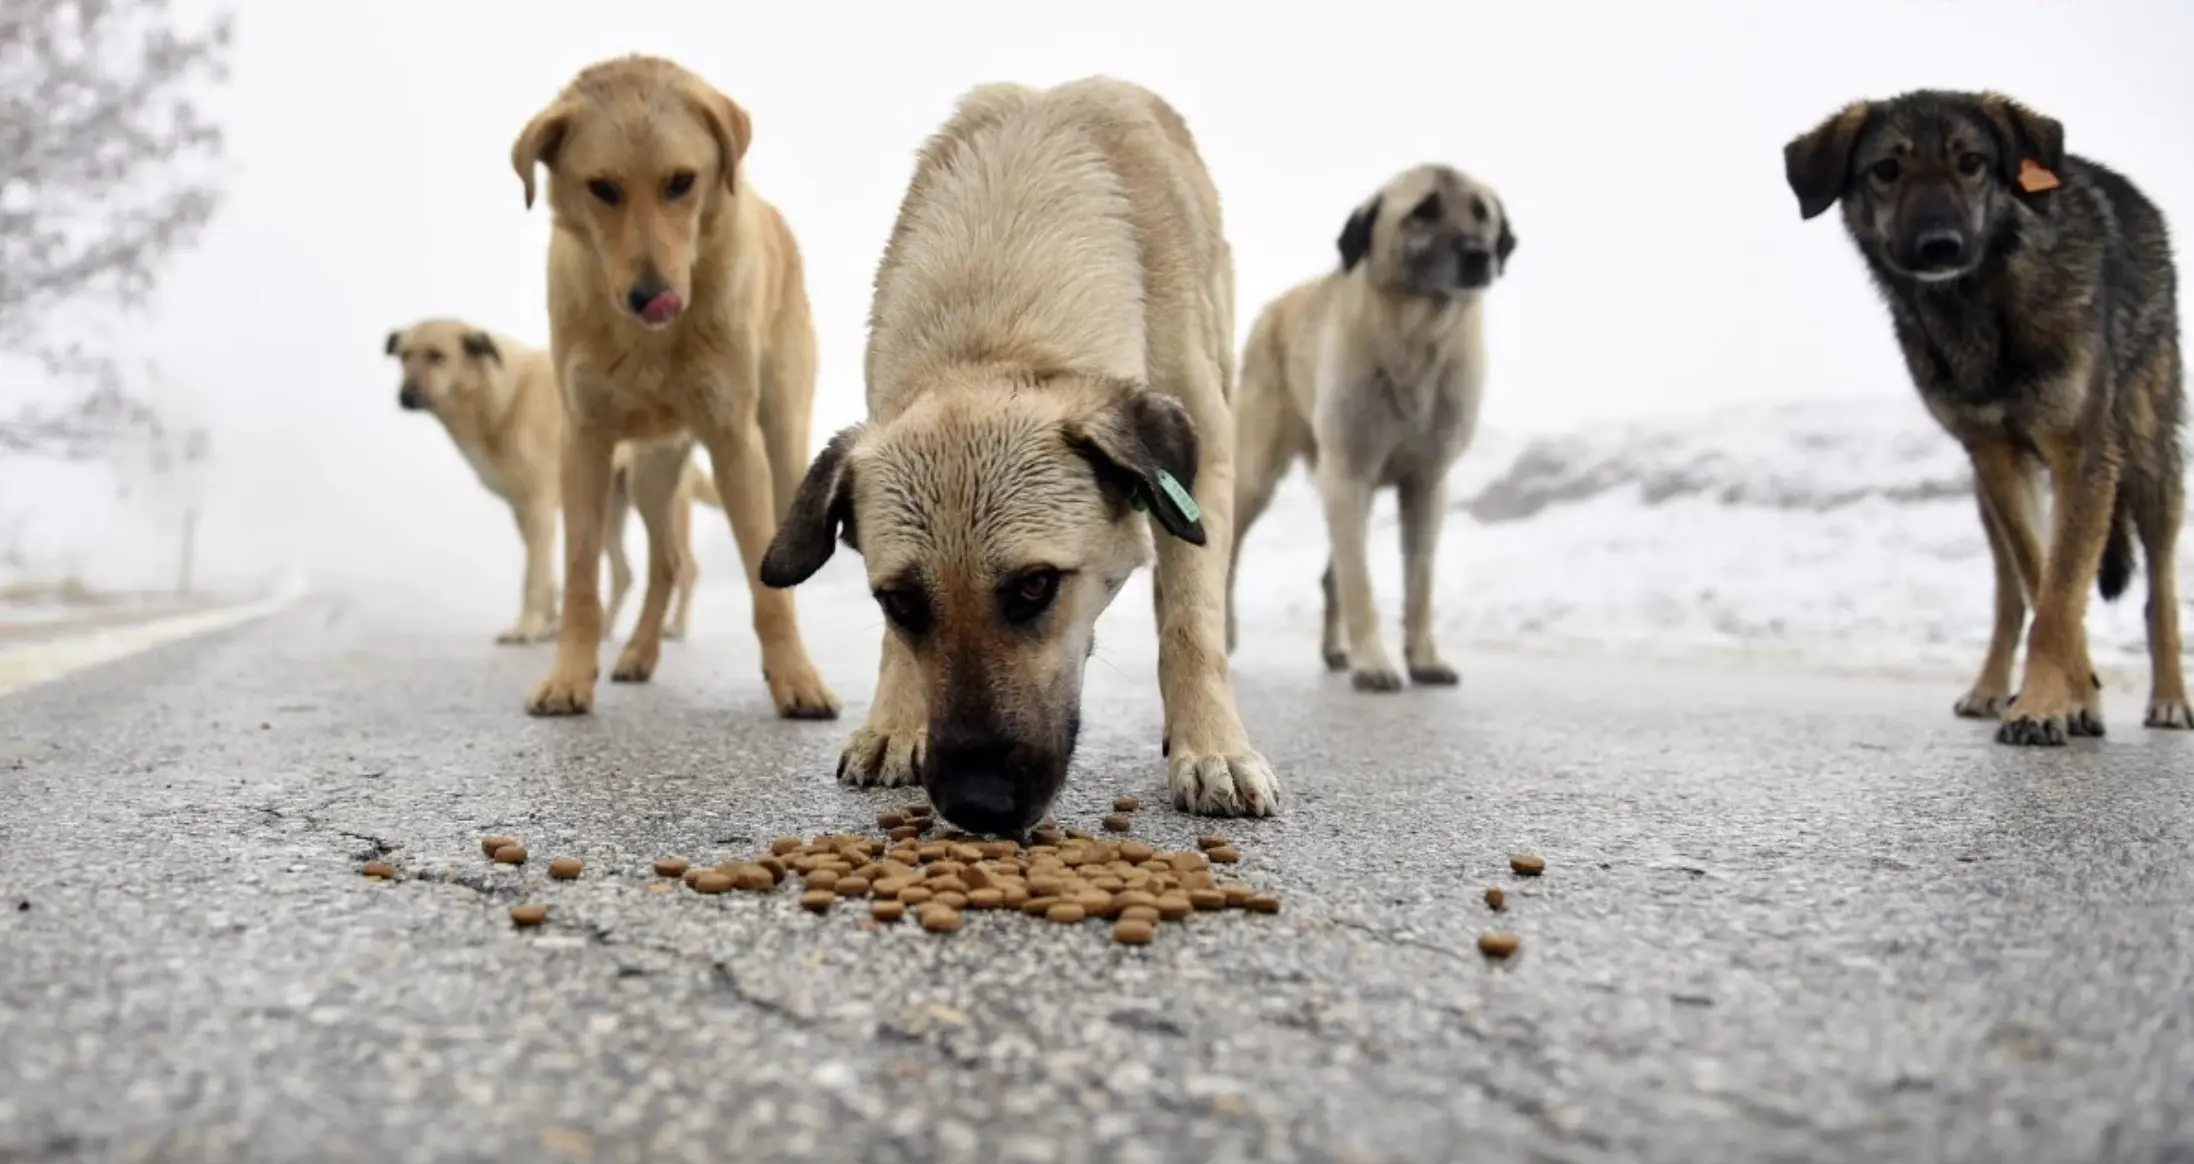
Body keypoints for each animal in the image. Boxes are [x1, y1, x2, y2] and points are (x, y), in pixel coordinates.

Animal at [379, 315, 719, 648]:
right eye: (404, 356)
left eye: (437, 355)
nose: (404, 397)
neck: (501, 398)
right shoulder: (523, 510)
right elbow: (547, 576)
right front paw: (546, 626)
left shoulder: (538, 507)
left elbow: (534, 576)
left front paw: (526, 628)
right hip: (608, 509)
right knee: (624, 572)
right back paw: (603, 628)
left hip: (657, 500)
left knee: (685, 568)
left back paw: (674, 628)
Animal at [509, 54, 833, 719]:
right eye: (602, 188)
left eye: (681, 182)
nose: (651, 296)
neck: (648, 344)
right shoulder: (584, 442)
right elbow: (580, 575)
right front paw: (568, 676)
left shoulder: (736, 441)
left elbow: (766, 584)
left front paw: (794, 677)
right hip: (652, 471)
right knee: (668, 561)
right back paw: (637, 652)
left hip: (782, 441)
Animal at [759, 77, 1281, 832]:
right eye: (900, 600)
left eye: (1037, 585)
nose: (978, 805)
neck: (993, 325)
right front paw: (895, 722)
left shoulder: (1203, 464)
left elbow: (1192, 624)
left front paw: (1213, 746)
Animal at [1228, 164, 1518, 692]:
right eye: (1423, 211)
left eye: (1481, 213)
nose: (1478, 256)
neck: (1417, 336)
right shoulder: (1349, 473)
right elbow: (1359, 581)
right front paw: (1375, 662)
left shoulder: (1426, 483)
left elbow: (1418, 583)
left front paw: (1423, 658)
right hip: (1258, 475)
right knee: (1232, 551)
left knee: (1331, 575)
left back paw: (1335, 648)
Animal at [1790, 90, 2185, 745]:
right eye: (1887, 170)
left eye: (1971, 163)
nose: (1938, 246)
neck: (1979, 305)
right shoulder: (1996, 456)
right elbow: (2043, 583)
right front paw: (2072, 696)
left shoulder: (2084, 455)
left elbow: (2062, 594)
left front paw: (2046, 703)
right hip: (1988, 494)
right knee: (2011, 593)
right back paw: (1993, 688)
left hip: (2149, 460)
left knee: (2161, 590)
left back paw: (2171, 698)